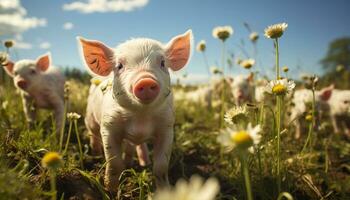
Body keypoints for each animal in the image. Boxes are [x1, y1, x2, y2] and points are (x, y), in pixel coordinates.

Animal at [79, 30, 193, 192]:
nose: (146, 80)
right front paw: (110, 190)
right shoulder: (108, 126)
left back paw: (143, 163)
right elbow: (114, 164)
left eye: (162, 63)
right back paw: (96, 154)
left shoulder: (167, 127)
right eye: (119, 66)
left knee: (135, 146)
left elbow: (161, 167)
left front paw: (164, 191)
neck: (141, 116)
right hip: (90, 118)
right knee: (93, 133)